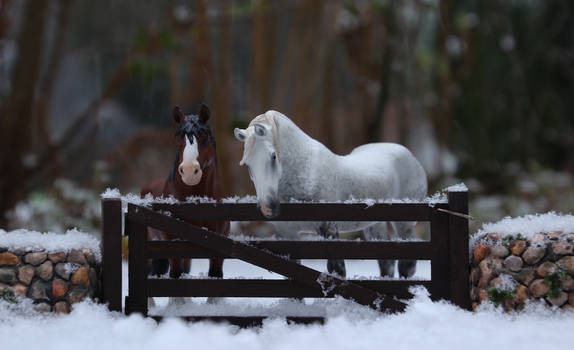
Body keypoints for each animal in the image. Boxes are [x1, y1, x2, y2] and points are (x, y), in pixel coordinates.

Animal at [141, 104, 230, 292]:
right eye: (177, 138)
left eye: (203, 137)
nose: (189, 171)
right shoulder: (173, 245)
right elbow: (176, 277)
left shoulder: (219, 250)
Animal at [234, 110, 428, 278]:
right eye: (247, 164)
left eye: (273, 156)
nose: (268, 208)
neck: (307, 173)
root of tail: (410, 156)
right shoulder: (288, 235)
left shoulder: (330, 231)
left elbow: (337, 271)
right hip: (375, 226)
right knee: (387, 264)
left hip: (404, 225)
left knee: (406, 267)